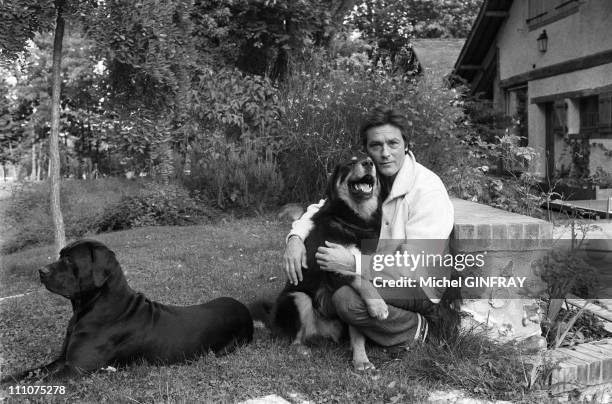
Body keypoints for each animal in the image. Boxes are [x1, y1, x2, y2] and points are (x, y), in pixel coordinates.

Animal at [0, 240, 253, 382]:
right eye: (61, 255)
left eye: (70, 260)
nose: (41, 271)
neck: (88, 308)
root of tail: (243, 307)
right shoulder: (63, 360)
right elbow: (27, 374)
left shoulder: (74, 369)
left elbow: (36, 383)